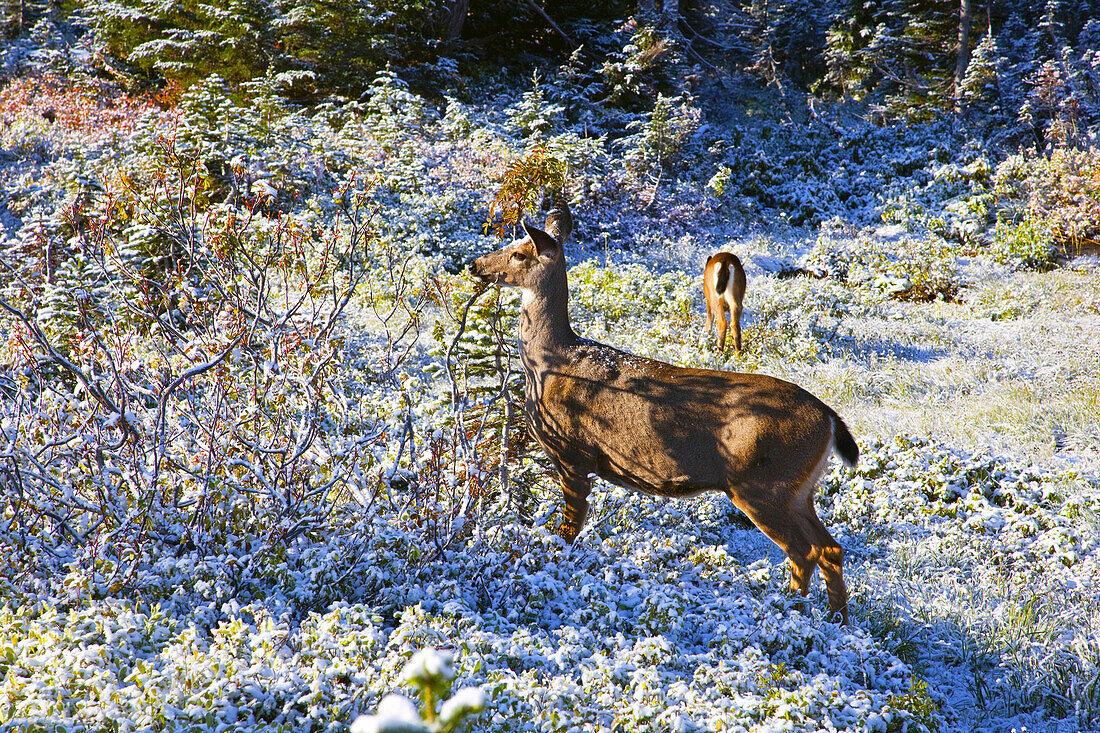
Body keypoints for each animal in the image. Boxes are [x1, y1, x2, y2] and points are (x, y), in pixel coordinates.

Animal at [464, 200, 858, 620]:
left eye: (519, 253)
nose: (474, 264)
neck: (548, 364)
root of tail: (829, 419)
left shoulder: (573, 453)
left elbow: (568, 532)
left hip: (761, 483)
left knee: (804, 551)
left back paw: (789, 613)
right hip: (798, 489)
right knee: (831, 548)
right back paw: (837, 620)